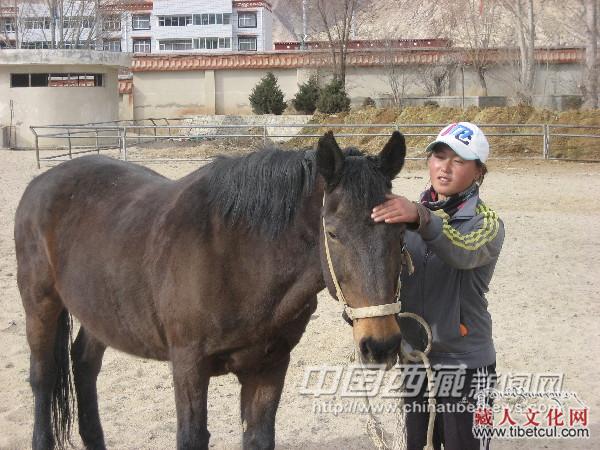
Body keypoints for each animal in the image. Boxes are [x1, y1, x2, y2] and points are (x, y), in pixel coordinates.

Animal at [14, 131, 408, 450]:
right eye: (333, 233)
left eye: (400, 231)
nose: (381, 344)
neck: (238, 259)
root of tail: (42, 182)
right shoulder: (189, 365)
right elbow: (192, 437)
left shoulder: (269, 366)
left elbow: (259, 437)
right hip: (40, 304)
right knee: (43, 376)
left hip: (102, 312)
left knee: (84, 364)